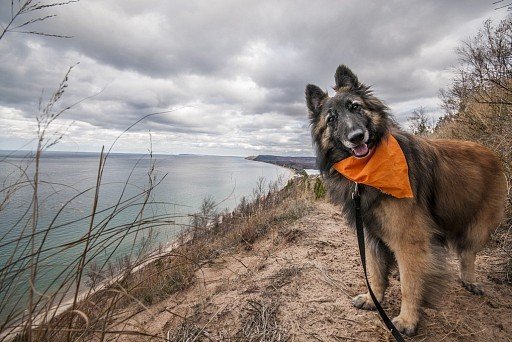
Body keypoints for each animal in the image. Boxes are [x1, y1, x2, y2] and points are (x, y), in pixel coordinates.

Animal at [306, 65, 506, 336]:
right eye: (331, 119)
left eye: (355, 107)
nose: (357, 137)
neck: (368, 170)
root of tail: (491, 153)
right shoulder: (370, 235)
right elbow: (375, 273)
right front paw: (372, 299)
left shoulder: (408, 240)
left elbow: (410, 285)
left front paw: (407, 320)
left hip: (478, 225)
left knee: (467, 253)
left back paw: (470, 280)